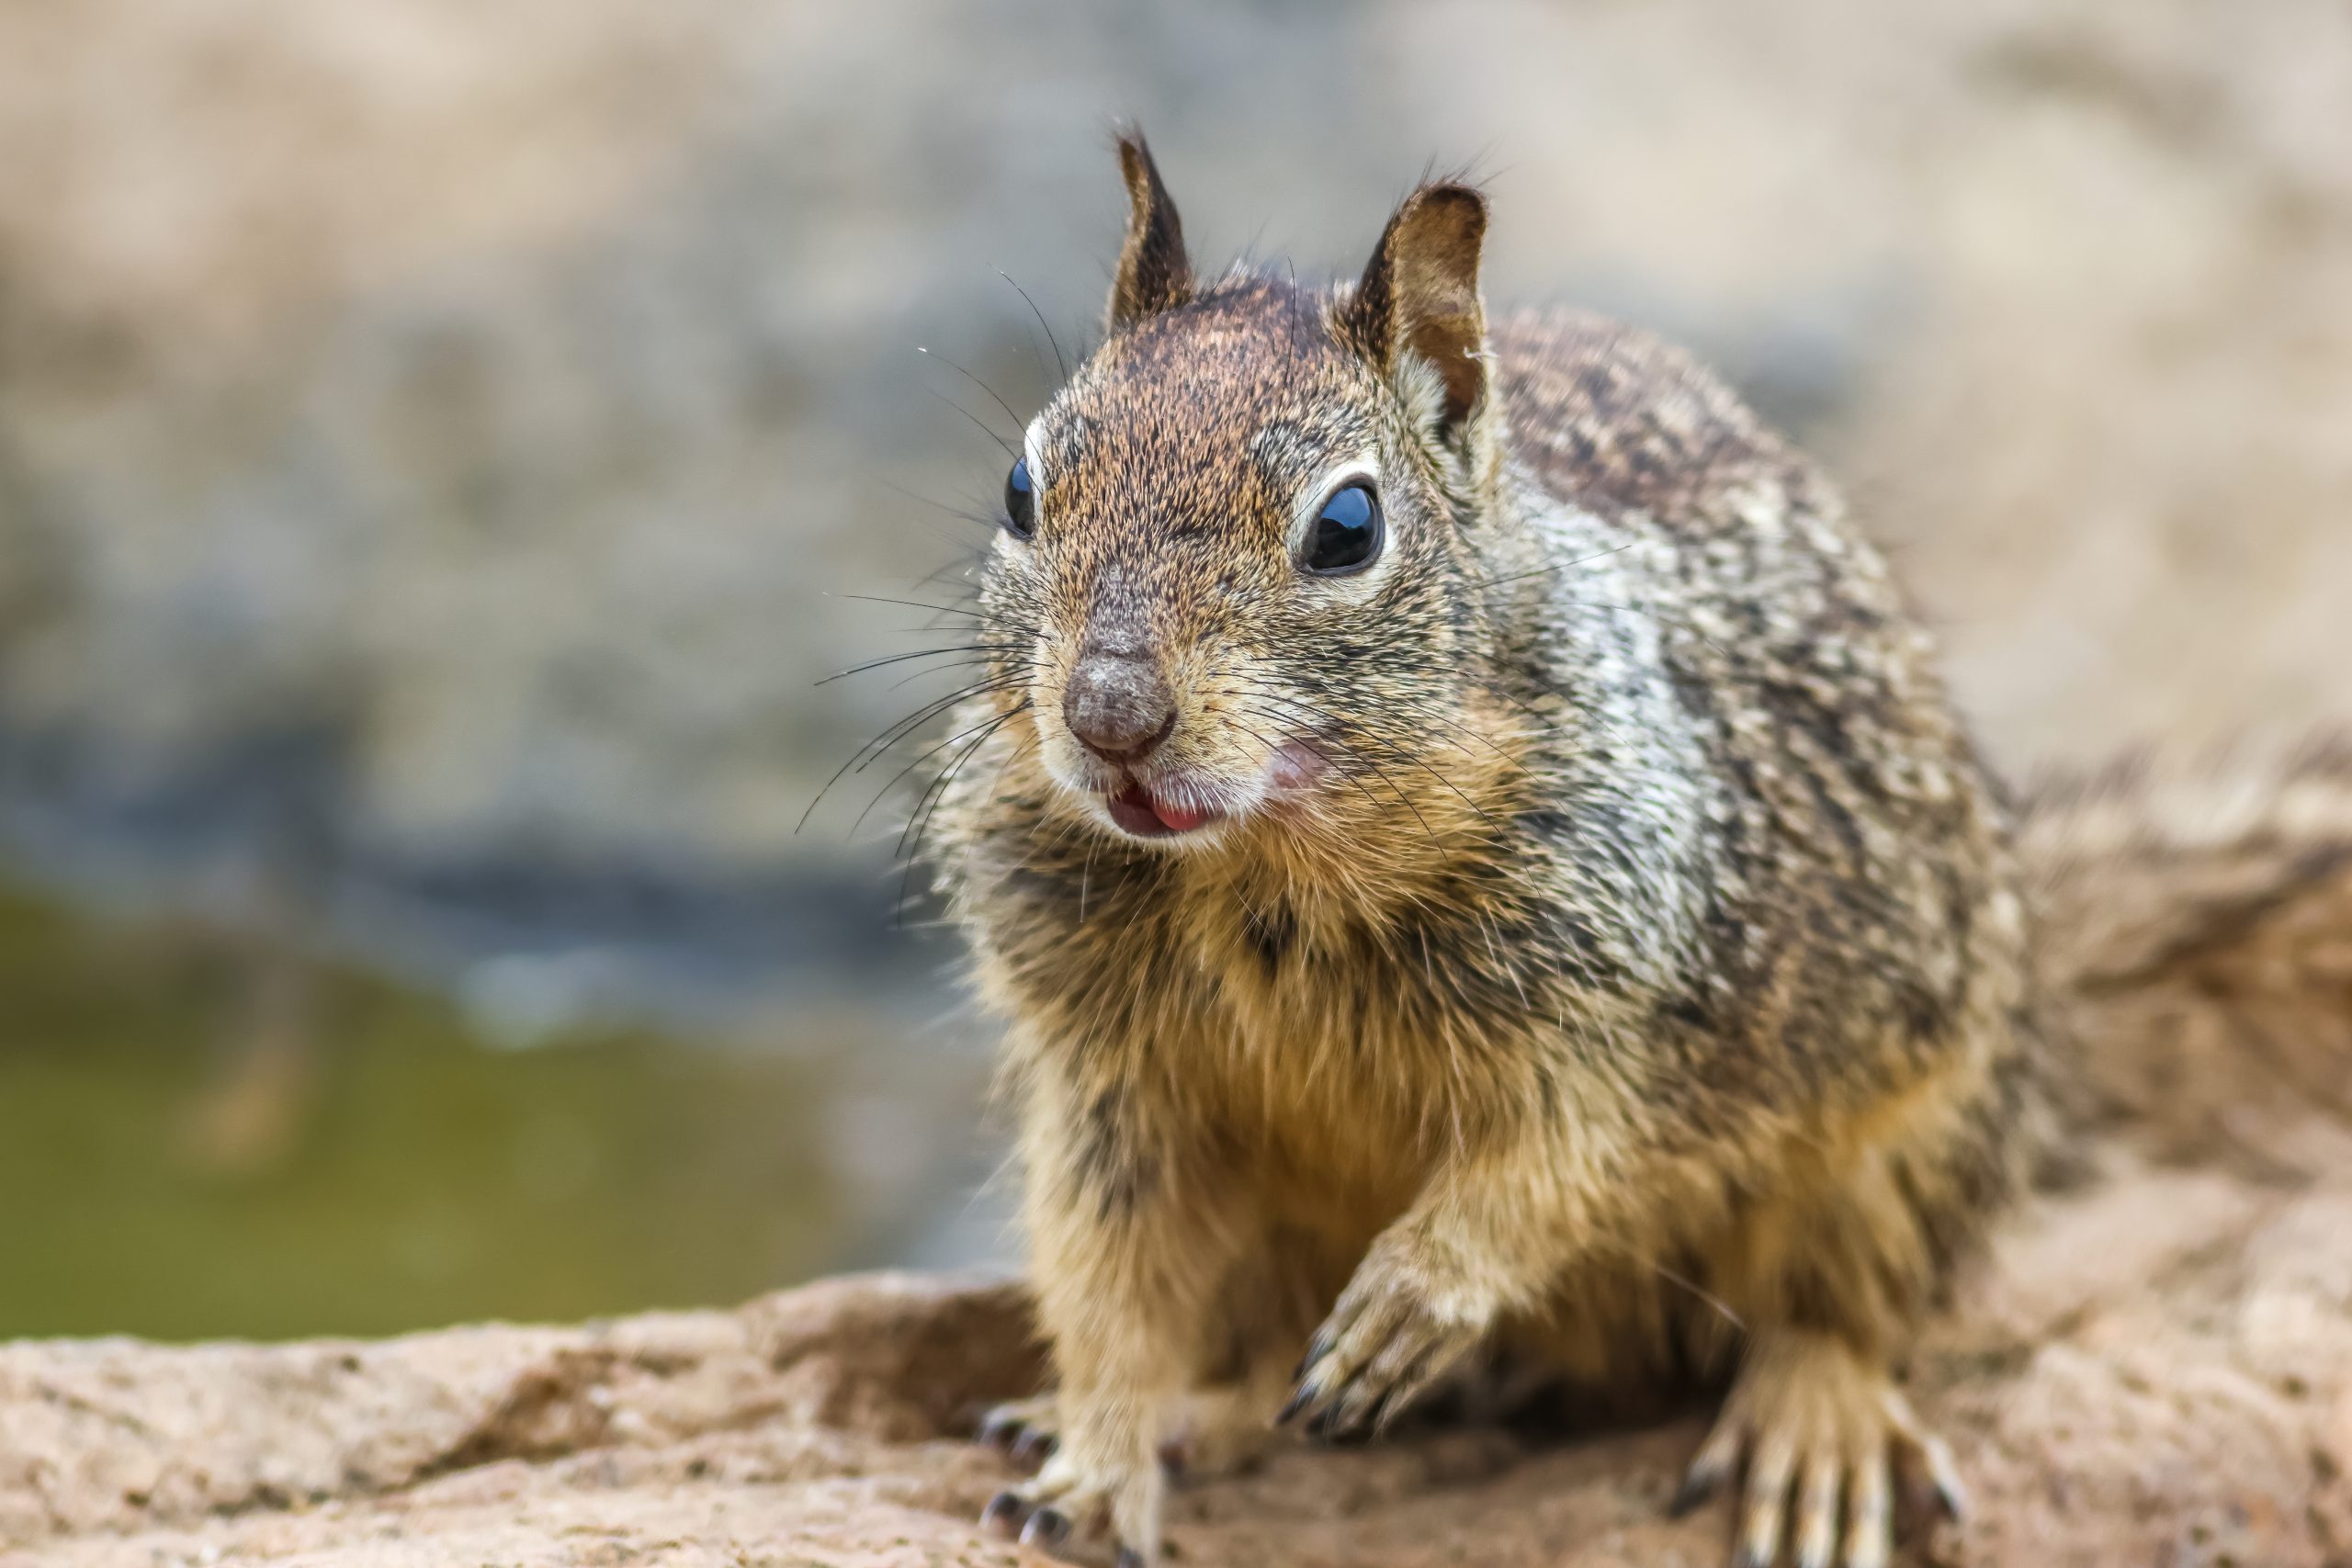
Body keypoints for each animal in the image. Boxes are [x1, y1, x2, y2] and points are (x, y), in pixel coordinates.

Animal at [922, 132, 2352, 1568]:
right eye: (1022, 490)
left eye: (1346, 528)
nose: (1110, 715)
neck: (1258, 872)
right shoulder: (1108, 1087)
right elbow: (1110, 1287)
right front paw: (1091, 1466)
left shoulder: (1658, 1004)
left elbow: (1561, 1167)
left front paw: (1413, 1299)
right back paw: (1199, 1413)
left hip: (1903, 1140)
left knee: (1847, 1308)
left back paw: (1816, 1425)